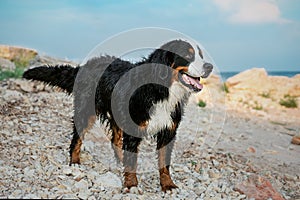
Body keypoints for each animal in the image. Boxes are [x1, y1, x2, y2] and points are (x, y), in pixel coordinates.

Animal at [23, 39, 213, 192]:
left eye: (201, 55)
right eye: (187, 55)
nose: (209, 66)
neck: (161, 90)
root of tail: (85, 65)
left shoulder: (168, 130)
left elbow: (163, 162)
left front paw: (168, 185)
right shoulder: (135, 126)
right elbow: (132, 161)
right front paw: (131, 185)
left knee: (116, 141)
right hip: (86, 110)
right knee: (77, 138)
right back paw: (75, 162)